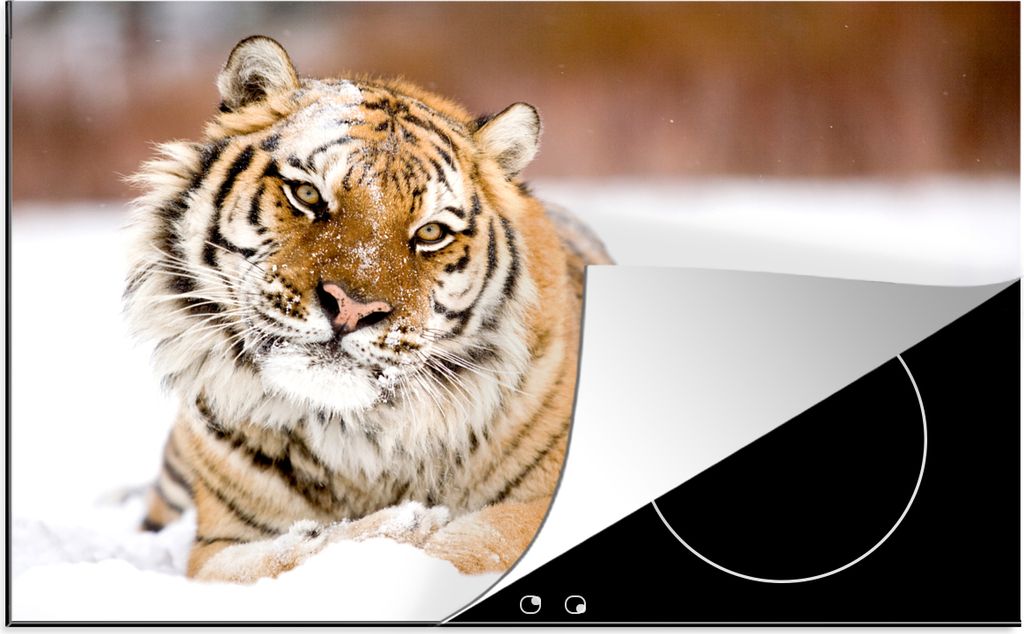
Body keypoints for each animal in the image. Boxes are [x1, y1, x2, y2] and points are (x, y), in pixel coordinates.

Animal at [125, 35, 612, 583]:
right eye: (307, 193)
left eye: (431, 232)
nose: (352, 309)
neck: (355, 443)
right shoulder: (216, 547)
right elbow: (284, 557)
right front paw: (401, 524)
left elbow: (478, 541)